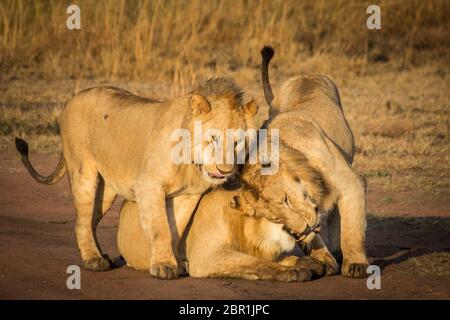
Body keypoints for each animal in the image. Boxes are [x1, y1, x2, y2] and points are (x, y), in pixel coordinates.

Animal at [14, 77, 256, 278]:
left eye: (238, 142)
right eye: (213, 138)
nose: (224, 170)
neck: (192, 164)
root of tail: (72, 99)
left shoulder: (188, 195)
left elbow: (176, 229)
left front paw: (175, 263)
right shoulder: (149, 185)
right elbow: (160, 228)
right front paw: (163, 266)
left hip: (106, 191)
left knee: (90, 220)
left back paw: (103, 256)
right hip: (84, 173)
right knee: (82, 221)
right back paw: (93, 260)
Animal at [116, 161, 328, 282]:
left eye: (287, 199)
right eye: (277, 215)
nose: (309, 225)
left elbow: (275, 259)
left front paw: (309, 262)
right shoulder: (205, 257)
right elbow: (254, 262)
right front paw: (296, 271)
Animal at [260, 45, 370, 278]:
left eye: (286, 200)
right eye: (275, 220)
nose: (295, 233)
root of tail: (305, 75)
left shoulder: (351, 183)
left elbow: (352, 228)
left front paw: (356, 264)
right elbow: (315, 236)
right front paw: (324, 261)